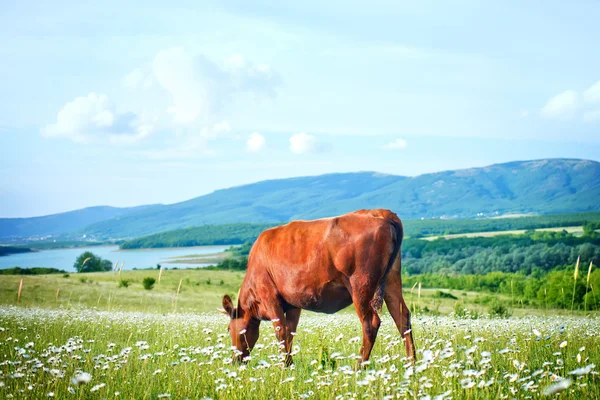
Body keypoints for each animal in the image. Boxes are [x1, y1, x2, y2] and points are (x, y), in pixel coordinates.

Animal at [220, 209, 418, 366]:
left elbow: (281, 332)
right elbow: (290, 332)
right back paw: (412, 363)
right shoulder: (293, 304)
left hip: (361, 287)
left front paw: (284, 366)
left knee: (371, 324)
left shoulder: (269, 297)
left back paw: (359, 366)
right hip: (392, 282)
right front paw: (290, 364)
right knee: (402, 318)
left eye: (229, 329)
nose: (235, 361)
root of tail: (380, 213)